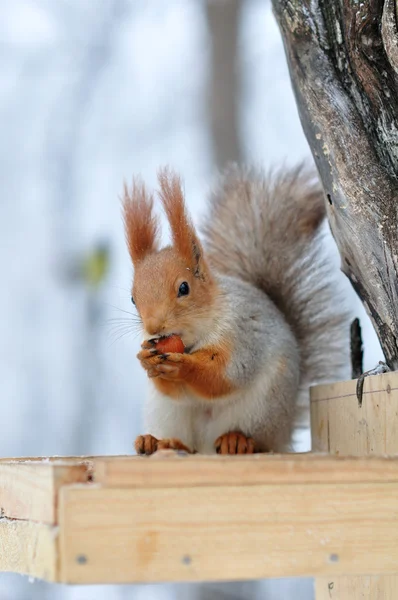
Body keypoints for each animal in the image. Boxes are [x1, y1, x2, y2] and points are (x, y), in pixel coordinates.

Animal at [123, 164, 350, 454]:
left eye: (184, 288)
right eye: (133, 298)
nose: (153, 326)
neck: (195, 335)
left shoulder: (242, 332)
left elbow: (224, 375)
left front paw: (183, 366)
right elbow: (174, 389)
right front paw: (146, 359)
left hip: (262, 409)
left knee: (258, 441)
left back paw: (237, 440)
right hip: (166, 412)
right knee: (186, 444)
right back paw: (159, 441)